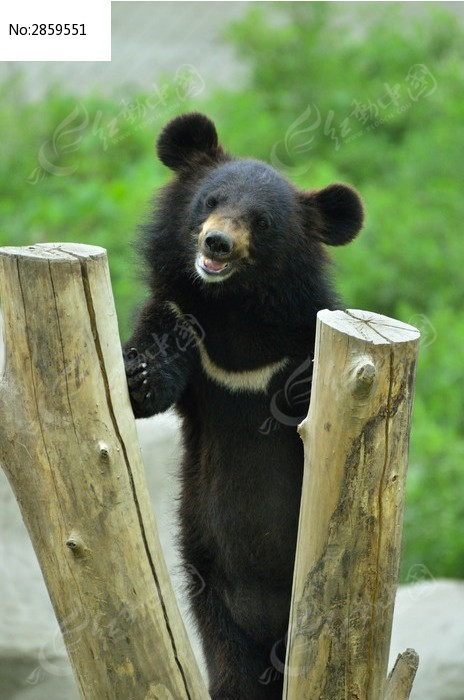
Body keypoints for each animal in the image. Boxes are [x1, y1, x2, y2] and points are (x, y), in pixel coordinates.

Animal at [125, 112, 364, 696]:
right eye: (210, 200)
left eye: (260, 221)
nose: (217, 244)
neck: (235, 309)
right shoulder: (183, 316)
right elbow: (156, 365)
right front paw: (138, 375)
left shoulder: (301, 343)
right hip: (209, 581)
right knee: (233, 669)